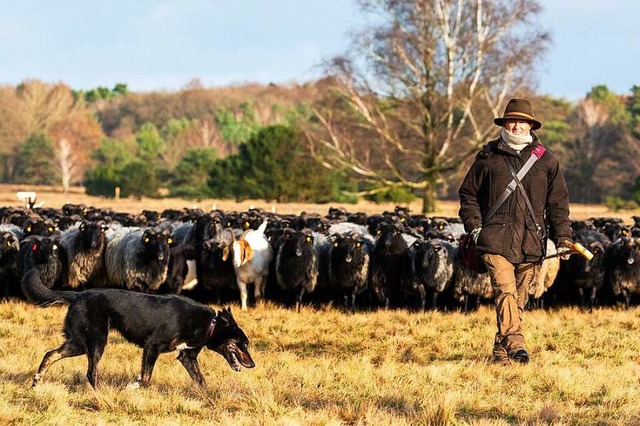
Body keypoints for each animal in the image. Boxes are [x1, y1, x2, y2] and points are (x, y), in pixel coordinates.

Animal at [21, 266, 255, 390]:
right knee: (90, 372)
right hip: (97, 341)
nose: (253, 365)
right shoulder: (152, 346)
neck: (210, 324)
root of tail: (78, 294)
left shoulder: (187, 356)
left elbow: (201, 380)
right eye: (243, 344)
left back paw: (36, 383)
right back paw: (101, 393)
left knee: (50, 354)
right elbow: (145, 378)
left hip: (78, 342)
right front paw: (132, 387)